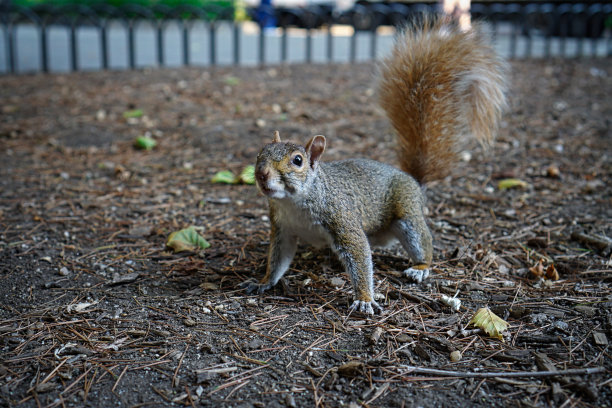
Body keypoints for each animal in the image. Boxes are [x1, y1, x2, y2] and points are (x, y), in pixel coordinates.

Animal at [241, 17, 510, 314]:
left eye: (297, 161)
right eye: (260, 153)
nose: (261, 174)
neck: (295, 202)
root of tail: (411, 178)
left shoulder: (343, 220)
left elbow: (359, 254)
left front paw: (364, 298)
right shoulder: (283, 229)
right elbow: (278, 259)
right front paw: (263, 282)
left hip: (407, 216)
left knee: (423, 241)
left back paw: (420, 267)